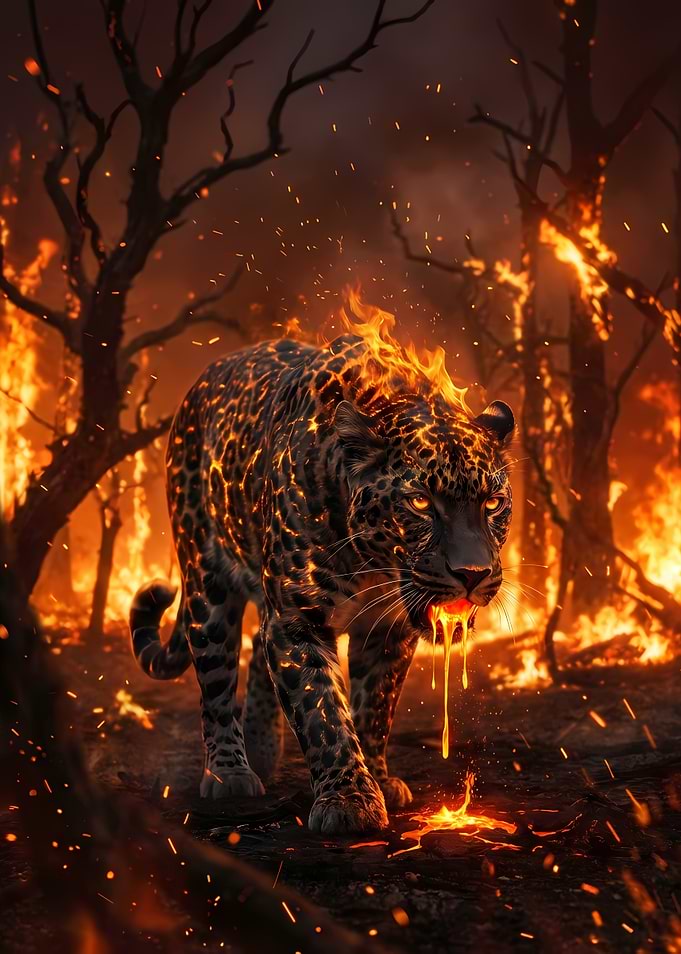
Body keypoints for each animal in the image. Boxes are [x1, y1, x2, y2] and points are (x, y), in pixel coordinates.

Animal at [129, 329, 514, 834]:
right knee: (217, 679)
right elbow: (322, 713)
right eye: (419, 502)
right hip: (206, 582)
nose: (472, 574)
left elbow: (375, 706)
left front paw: (379, 778)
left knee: (257, 660)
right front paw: (349, 801)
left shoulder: (387, 629)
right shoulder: (297, 620)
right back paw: (230, 771)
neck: (374, 566)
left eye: (492, 503)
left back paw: (262, 750)